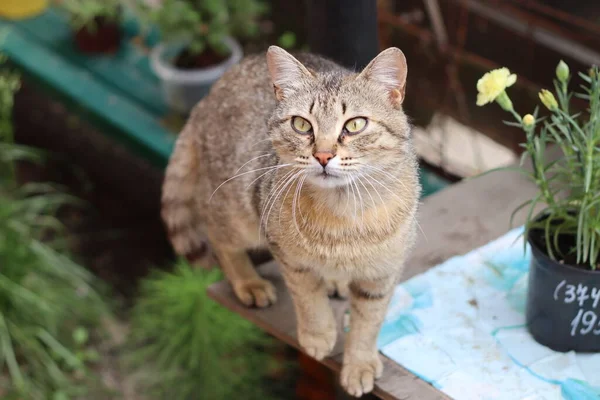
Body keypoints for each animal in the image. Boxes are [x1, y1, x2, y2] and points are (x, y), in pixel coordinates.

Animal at [162, 45, 420, 396]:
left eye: (354, 125)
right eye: (301, 124)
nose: (323, 155)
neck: (343, 214)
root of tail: (210, 94)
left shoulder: (383, 273)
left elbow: (369, 321)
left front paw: (360, 363)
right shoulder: (289, 258)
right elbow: (309, 299)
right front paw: (317, 336)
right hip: (236, 214)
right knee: (219, 238)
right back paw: (249, 282)